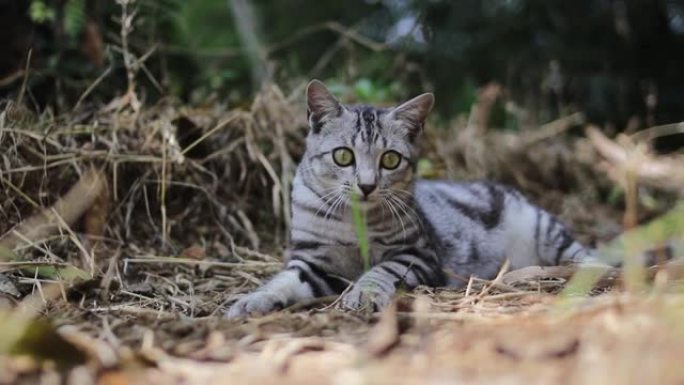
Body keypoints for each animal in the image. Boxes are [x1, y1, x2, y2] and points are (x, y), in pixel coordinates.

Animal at [226, 79, 592, 316]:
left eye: (390, 159)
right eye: (343, 156)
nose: (367, 185)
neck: (354, 222)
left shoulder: (418, 254)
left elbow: (380, 271)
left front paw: (363, 295)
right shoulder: (313, 262)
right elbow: (282, 281)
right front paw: (251, 301)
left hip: (545, 230)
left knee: (585, 255)